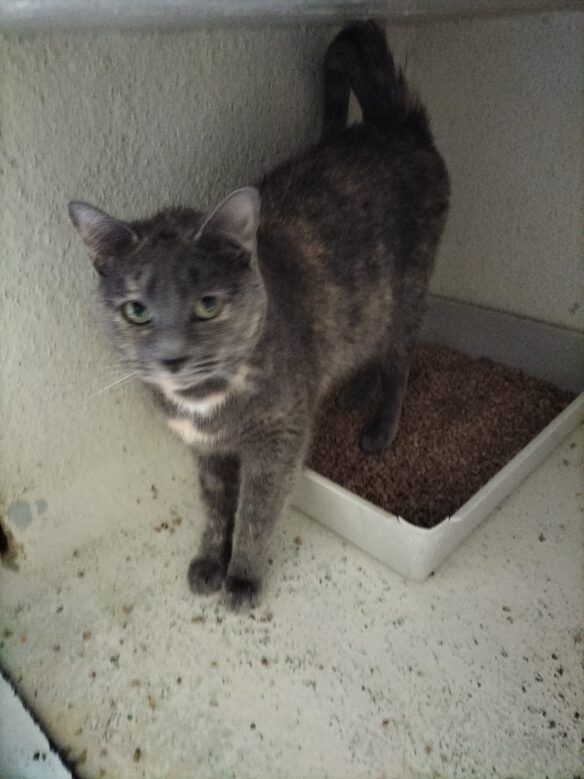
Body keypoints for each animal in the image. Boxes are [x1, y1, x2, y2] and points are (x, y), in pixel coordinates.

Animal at [68, 21, 449, 609]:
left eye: (208, 304)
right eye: (136, 310)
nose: (172, 358)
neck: (207, 402)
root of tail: (393, 126)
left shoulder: (278, 441)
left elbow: (254, 510)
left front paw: (242, 577)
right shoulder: (205, 452)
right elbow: (215, 507)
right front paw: (208, 561)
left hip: (405, 293)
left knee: (398, 361)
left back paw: (379, 426)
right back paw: (353, 392)